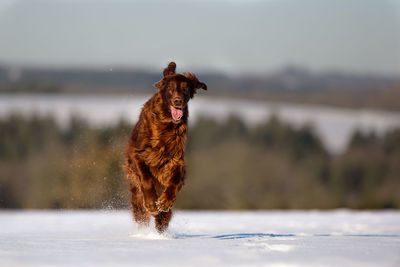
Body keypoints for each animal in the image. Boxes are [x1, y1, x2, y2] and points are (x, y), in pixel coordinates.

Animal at [123, 61, 208, 233]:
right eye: (169, 87)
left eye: (185, 88)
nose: (178, 101)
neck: (166, 125)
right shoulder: (138, 155)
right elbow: (146, 179)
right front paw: (151, 203)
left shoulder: (176, 161)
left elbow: (174, 183)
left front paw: (164, 201)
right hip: (135, 193)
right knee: (140, 211)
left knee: (164, 217)